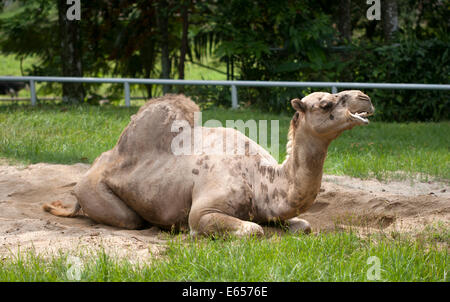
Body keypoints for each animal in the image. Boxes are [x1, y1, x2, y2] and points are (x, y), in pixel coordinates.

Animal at [44, 91, 376, 237]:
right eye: (326, 103)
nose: (365, 97)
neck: (260, 179)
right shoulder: (204, 209)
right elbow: (253, 230)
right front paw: (189, 234)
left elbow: (304, 225)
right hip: (94, 191)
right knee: (129, 220)